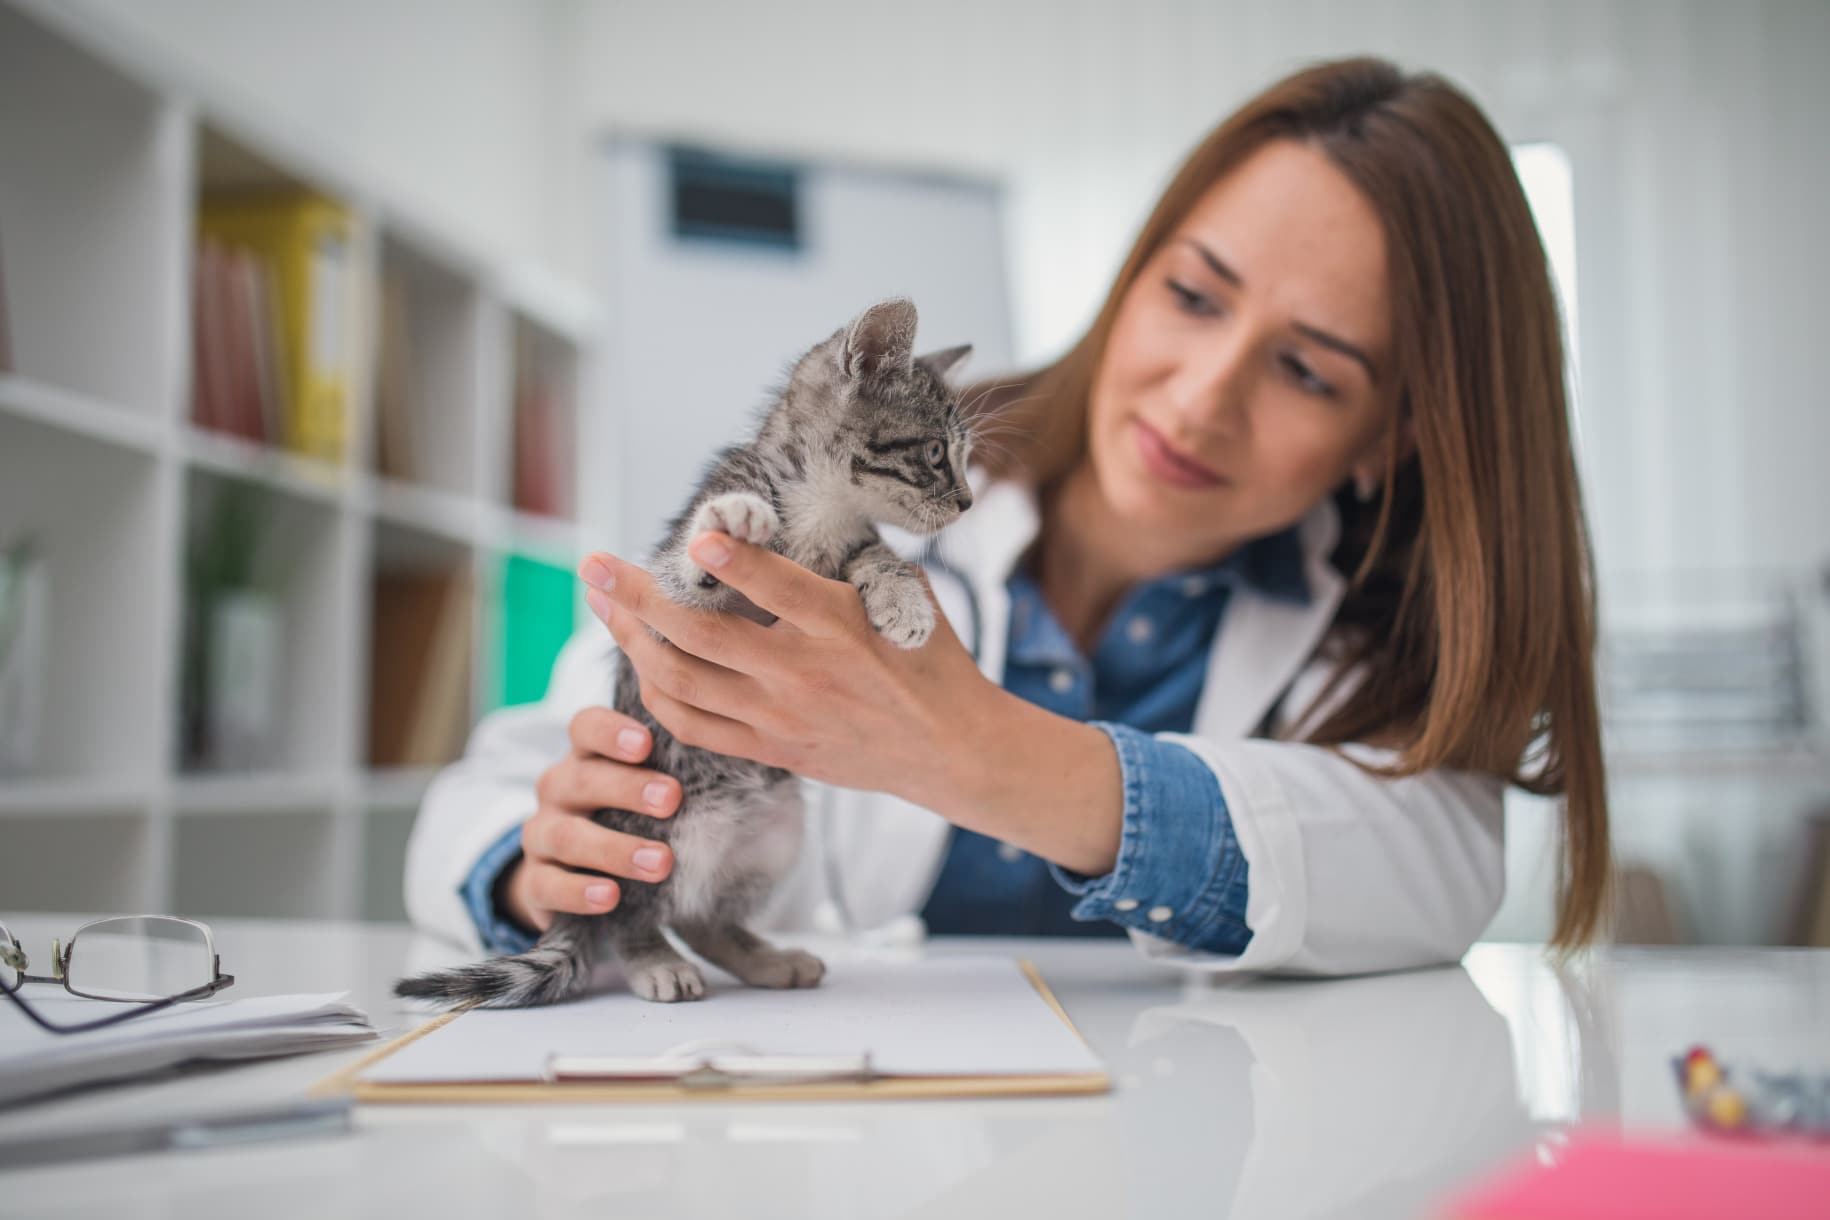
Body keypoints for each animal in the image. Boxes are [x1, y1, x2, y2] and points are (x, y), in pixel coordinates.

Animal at [395, 299, 980, 1009]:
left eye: (964, 457)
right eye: (935, 452)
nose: (969, 501)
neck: (822, 512)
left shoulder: (852, 547)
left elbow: (878, 554)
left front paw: (904, 601)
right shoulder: (663, 603)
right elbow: (688, 566)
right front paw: (728, 524)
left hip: (777, 829)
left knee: (701, 916)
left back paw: (765, 958)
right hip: (657, 831)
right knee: (627, 910)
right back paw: (655, 960)